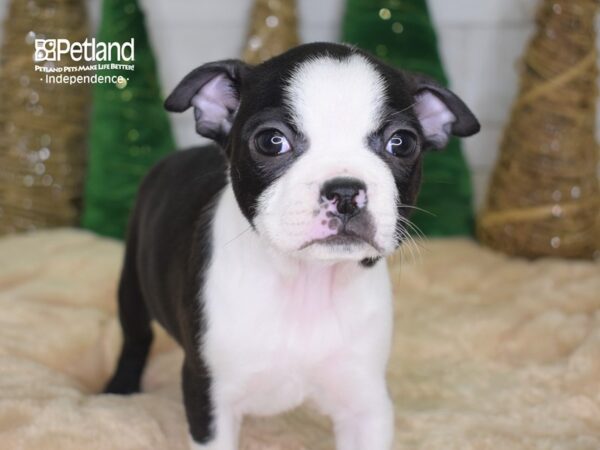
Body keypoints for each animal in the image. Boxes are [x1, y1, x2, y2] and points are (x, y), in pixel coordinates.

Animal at [103, 43, 478, 450]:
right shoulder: (209, 400)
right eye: (272, 141)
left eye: (402, 143)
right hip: (132, 282)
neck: (306, 282)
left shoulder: (365, 402)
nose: (345, 191)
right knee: (135, 336)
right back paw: (119, 388)